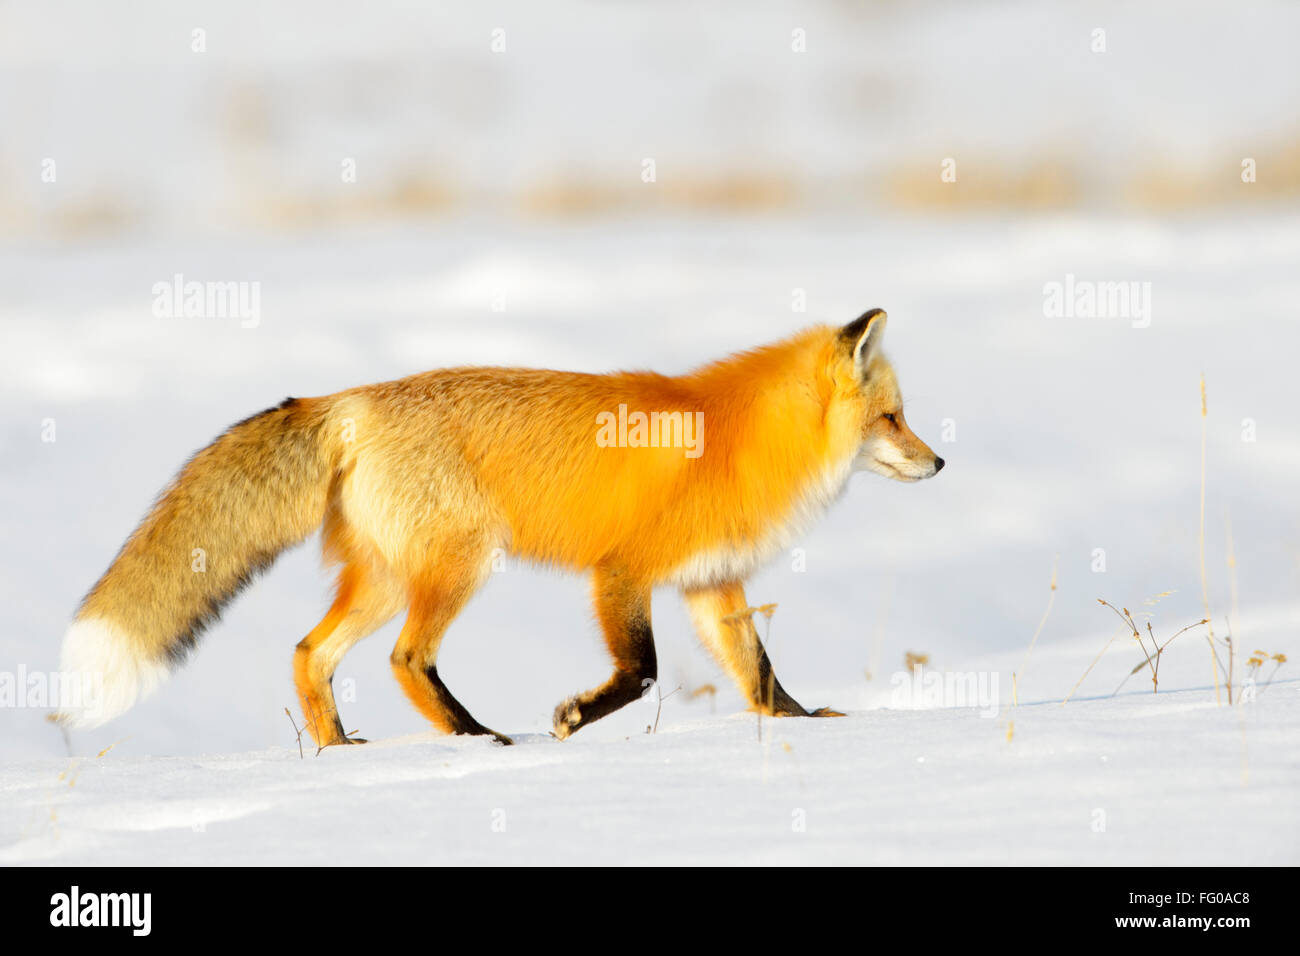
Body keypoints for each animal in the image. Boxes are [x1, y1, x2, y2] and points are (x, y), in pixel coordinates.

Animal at [55, 310, 941, 743]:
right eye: (893, 419)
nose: (939, 463)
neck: (737, 440)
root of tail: (349, 400)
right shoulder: (622, 572)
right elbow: (643, 672)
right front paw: (573, 719)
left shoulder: (711, 582)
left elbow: (759, 673)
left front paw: (804, 727)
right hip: (460, 565)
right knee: (405, 659)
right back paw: (479, 739)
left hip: (388, 579)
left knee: (311, 654)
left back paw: (340, 755)